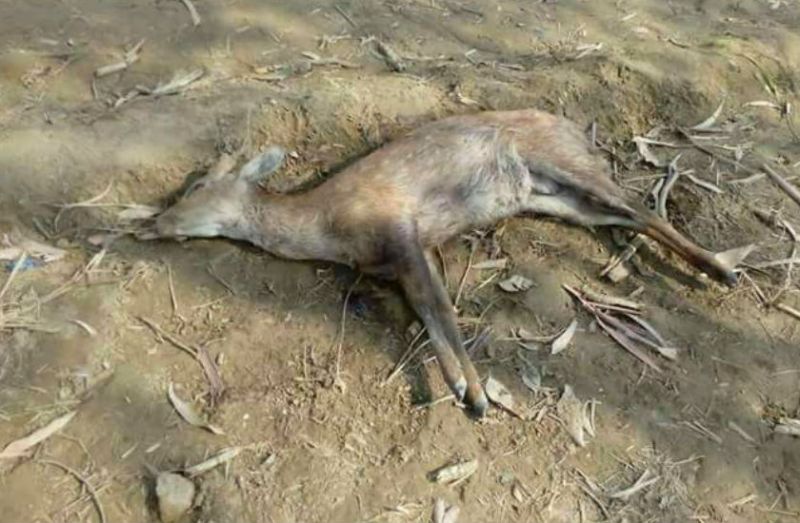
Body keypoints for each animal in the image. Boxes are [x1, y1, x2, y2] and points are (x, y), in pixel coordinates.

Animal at [154, 109, 738, 418]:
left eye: (198, 186)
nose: (154, 223)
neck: (327, 226)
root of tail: (577, 127)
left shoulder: (403, 232)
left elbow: (442, 313)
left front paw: (476, 396)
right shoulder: (400, 259)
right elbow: (429, 313)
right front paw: (466, 390)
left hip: (565, 165)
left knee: (639, 206)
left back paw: (723, 270)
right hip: (552, 197)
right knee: (627, 215)